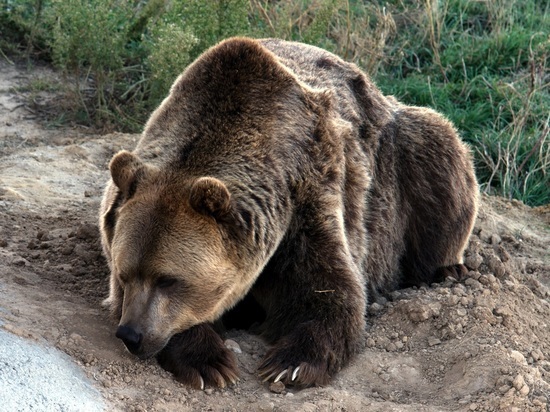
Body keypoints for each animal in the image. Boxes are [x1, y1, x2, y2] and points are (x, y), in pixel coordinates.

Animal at [101, 37, 480, 390]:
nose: (131, 334)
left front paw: (289, 363)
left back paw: (449, 269)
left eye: (169, 279)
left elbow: (329, 292)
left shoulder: (308, 197)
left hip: (403, 158)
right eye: (124, 273)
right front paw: (208, 362)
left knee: (440, 151)